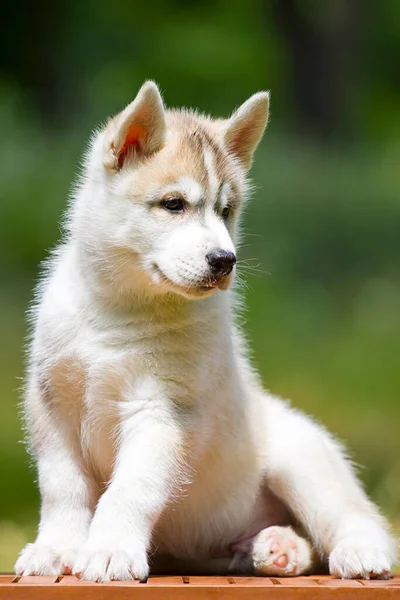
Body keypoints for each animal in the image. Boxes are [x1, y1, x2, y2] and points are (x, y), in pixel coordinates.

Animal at [14, 82, 396, 580]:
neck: (119, 311)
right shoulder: (52, 408)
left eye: (226, 210)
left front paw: (111, 549)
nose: (224, 260)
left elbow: (129, 490)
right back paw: (277, 547)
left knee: (354, 518)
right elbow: (63, 490)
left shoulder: (160, 414)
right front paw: (55, 548)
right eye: (174, 204)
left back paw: (359, 552)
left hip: (301, 459)